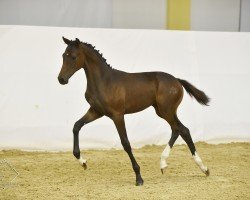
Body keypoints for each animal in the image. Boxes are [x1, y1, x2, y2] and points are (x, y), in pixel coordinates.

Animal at [57, 37, 210, 186]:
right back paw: (171, 165)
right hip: (163, 111)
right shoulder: (96, 112)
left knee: (182, 129)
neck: (104, 81)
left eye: (74, 57)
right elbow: (76, 126)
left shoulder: (117, 115)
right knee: (179, 130)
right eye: (64, 55)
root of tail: (177, 80)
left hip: (166, 111)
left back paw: (200, 167)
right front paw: (82, 161)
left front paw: (139, 178)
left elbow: (126, 143)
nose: (61, 79)